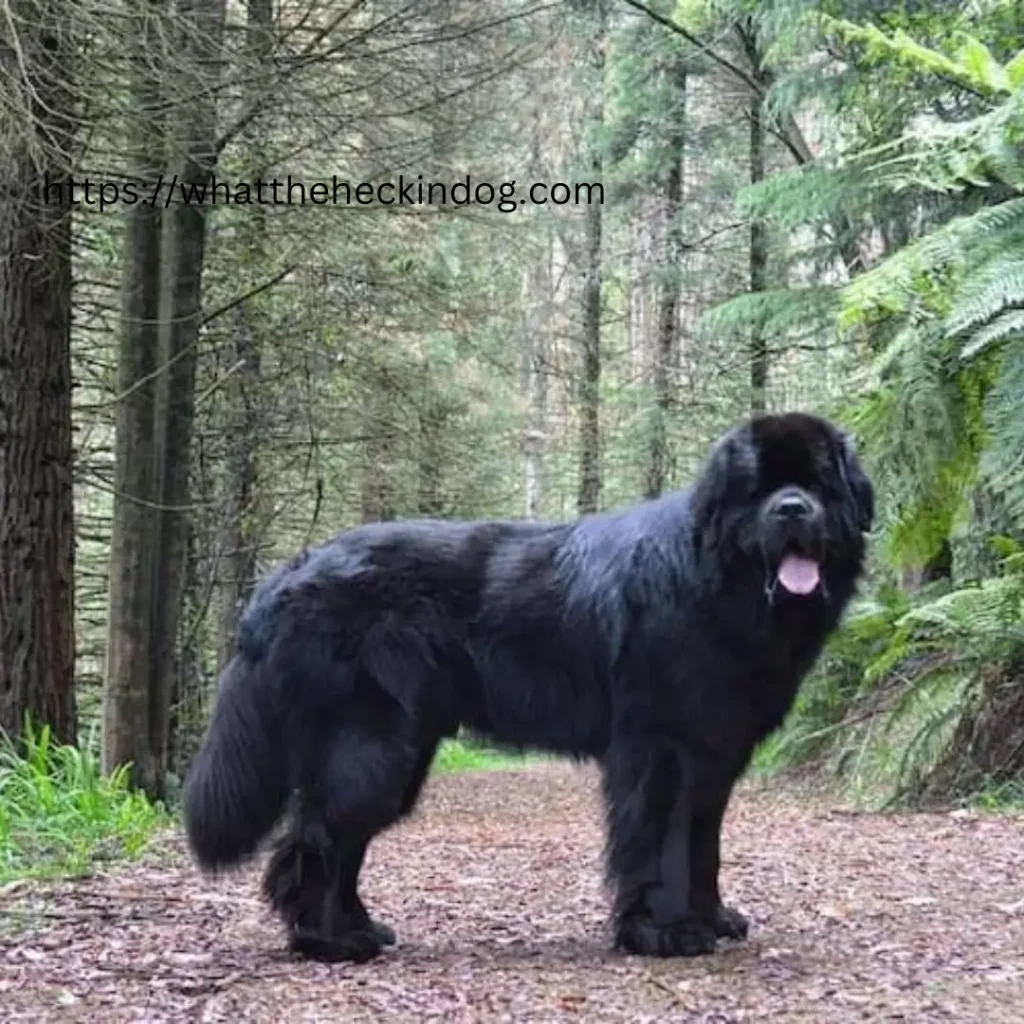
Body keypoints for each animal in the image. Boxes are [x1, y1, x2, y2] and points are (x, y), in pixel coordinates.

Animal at [184, 407, 872, 958]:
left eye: (818, 483)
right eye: (760, 490)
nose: (792, 508)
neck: (716, 580)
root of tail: (285, 576)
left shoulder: (714, 754)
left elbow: (702, 845)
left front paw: (711, 918)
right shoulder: (661, 750)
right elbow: (659, 846)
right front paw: (664, 932)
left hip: (398, 753)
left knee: (341, 843)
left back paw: (360, 929)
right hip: (370, 747)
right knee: (316, 840)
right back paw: (327, 942)